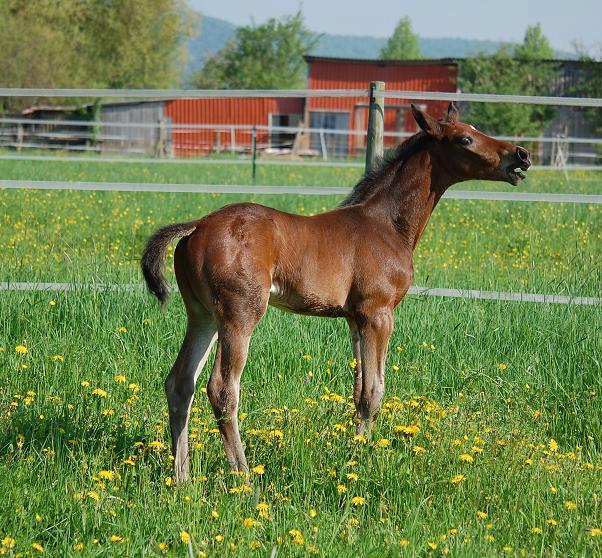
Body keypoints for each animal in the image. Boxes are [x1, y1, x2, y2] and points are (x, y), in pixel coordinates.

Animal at [142, 103, 528, 484]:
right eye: (465, 138)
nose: (520, 155)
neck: (386, 225)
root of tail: (196, 227)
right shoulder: (378, 313)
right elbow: (374, 391)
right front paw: (362, 460)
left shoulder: (355, 319)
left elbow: (359, 391)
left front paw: (353, 452)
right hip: (240, 314)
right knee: (222, 390)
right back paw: (244, 477)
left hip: (203, 315)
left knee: (180, 383)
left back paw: (182, 478)